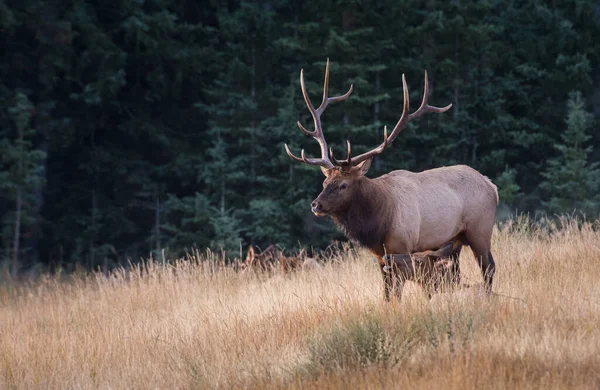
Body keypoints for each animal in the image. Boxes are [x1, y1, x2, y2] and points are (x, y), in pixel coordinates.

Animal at [284, 58, 500, 302]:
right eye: (324, 183)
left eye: (343, 185)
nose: (316, 205)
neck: (378, 223)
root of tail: (492, 186)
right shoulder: (380, 255)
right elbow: (387, 294)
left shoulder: (401, 247)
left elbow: (396, 291)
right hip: (455, 239)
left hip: (480, 229)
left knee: (489, 267)